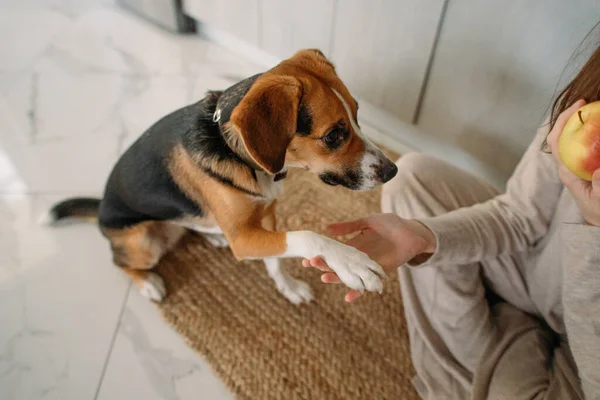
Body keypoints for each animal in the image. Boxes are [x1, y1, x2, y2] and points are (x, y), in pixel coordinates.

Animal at [45, 49, 398, 304]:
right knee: (121, 263)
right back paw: (148, 284)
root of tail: (101, 207)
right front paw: (351, 262)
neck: (240, 154)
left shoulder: (266, 217)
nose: (393, 170)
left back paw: (212, 234)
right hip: (142, 242)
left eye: (357, 114)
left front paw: (289, 288)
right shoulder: (243, 239)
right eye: (333, 136)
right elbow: (307, 236)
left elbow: (277, 259)